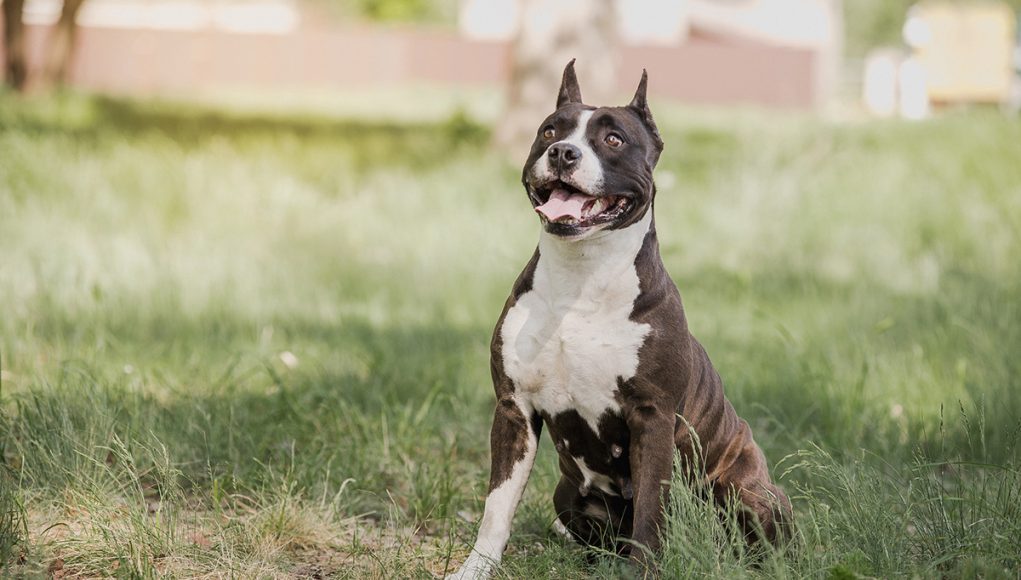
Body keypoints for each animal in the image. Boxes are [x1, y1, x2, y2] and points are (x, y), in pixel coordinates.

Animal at [451, 61, 792, 575]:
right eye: (550, 131)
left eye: (613, 139)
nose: (563, 152)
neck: (580, 277)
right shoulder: (514, 411)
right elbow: (497, 507)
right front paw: (476, 568)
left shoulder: (652, 418)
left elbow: (650, 510)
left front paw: (644, 571)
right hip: (567, 494)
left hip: (751, 495)